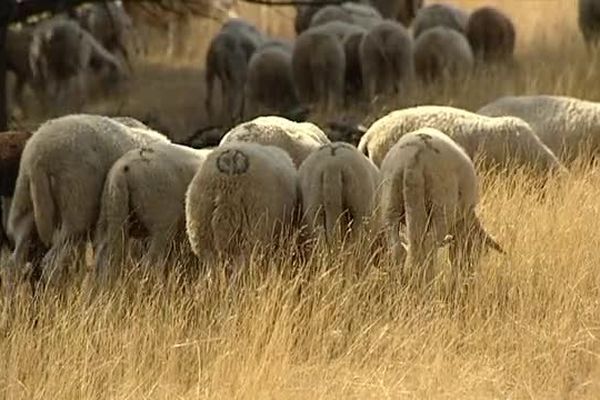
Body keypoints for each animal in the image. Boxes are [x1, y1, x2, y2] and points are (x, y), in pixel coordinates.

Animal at [380, 126, 502, 282]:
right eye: (478, 249)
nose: (469, 274)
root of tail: (413, 158)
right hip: (441, 205)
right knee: (428, 245)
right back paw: (428, 279)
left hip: (391, 201)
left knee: (398, 248)